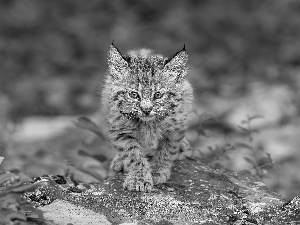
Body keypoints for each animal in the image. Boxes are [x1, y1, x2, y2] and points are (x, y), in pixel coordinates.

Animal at [102, 44, 193, 192]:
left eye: (158, 95)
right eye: (133, 94)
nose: (146, 110)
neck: (148, 124)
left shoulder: (175, 128)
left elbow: (167, 151)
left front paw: (157, 171)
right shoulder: (121, 130)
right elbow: (133, 154)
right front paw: (139, 178)